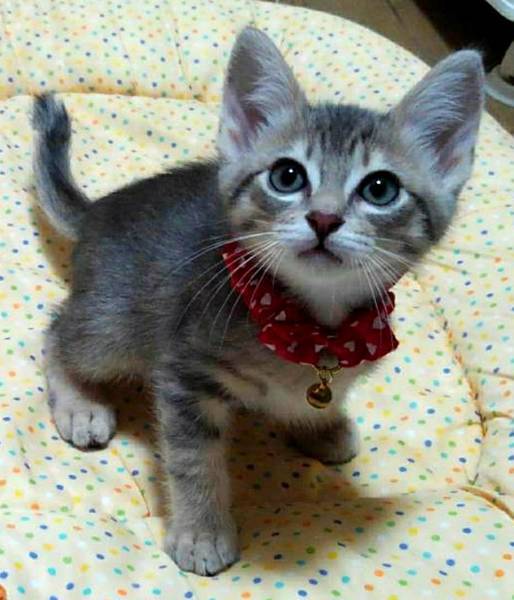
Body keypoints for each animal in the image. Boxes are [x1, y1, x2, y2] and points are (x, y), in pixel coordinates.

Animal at [32, 27, 484, 576]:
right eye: (287, 176)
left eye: (381, 188)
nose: (324, 218)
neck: (306, 325)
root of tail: (99, 209)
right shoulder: (184, 372)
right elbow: (194, 461)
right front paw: (202, 533)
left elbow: (313, 402)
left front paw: (320, 425)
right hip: (113, 325)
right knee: (58, 332)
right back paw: (80, 404)